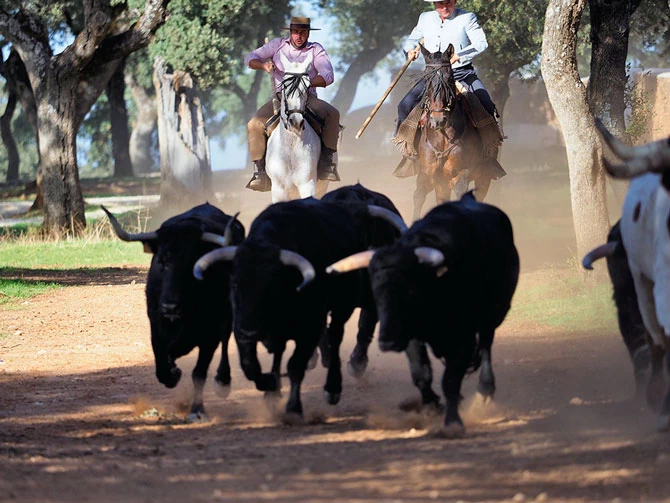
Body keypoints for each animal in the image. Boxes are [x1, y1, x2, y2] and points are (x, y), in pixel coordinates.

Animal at [102, 203, 244, 424]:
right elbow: (162, 363)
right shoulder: (155, 326)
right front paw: (173, 372)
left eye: (193, 264)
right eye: (161, 262)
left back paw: (223, 381)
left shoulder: (209, 336)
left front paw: (197, 410)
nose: (170, 307)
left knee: (225, 339)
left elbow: (199, 373)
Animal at [412, 44, 502, 221]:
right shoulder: (428, 175)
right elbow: (418, 196)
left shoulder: (461, 175)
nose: (438, 120)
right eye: (427, 79)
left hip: (483, 177)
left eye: (448, 79)